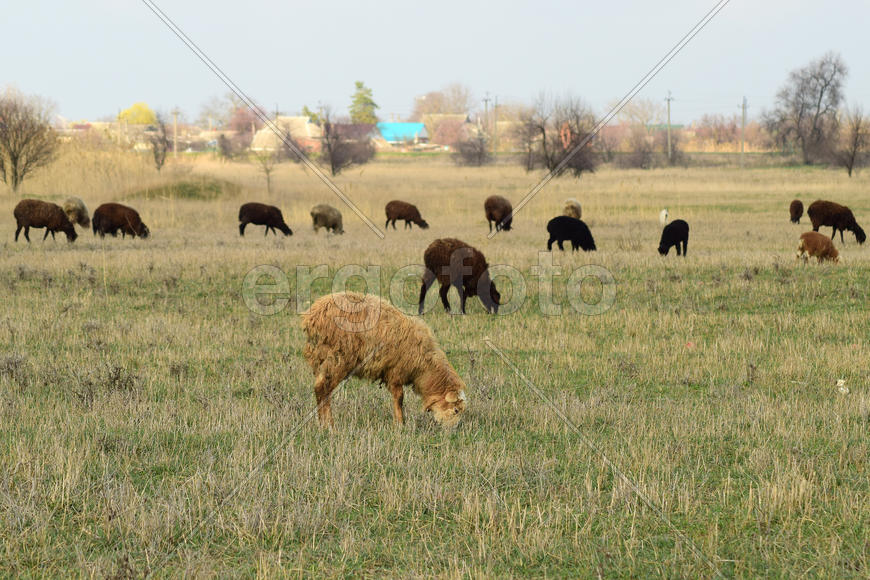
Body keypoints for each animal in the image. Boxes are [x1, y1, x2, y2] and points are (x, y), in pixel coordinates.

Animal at [302, 291, 468, 427]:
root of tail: (313, 316)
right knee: (323, 389)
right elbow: (399, 398)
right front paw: (400, 424)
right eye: (455, 410)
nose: (452, 431)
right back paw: (329, 425)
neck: (423, 367)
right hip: (337, 359)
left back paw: (322, 423)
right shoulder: (395, 372)